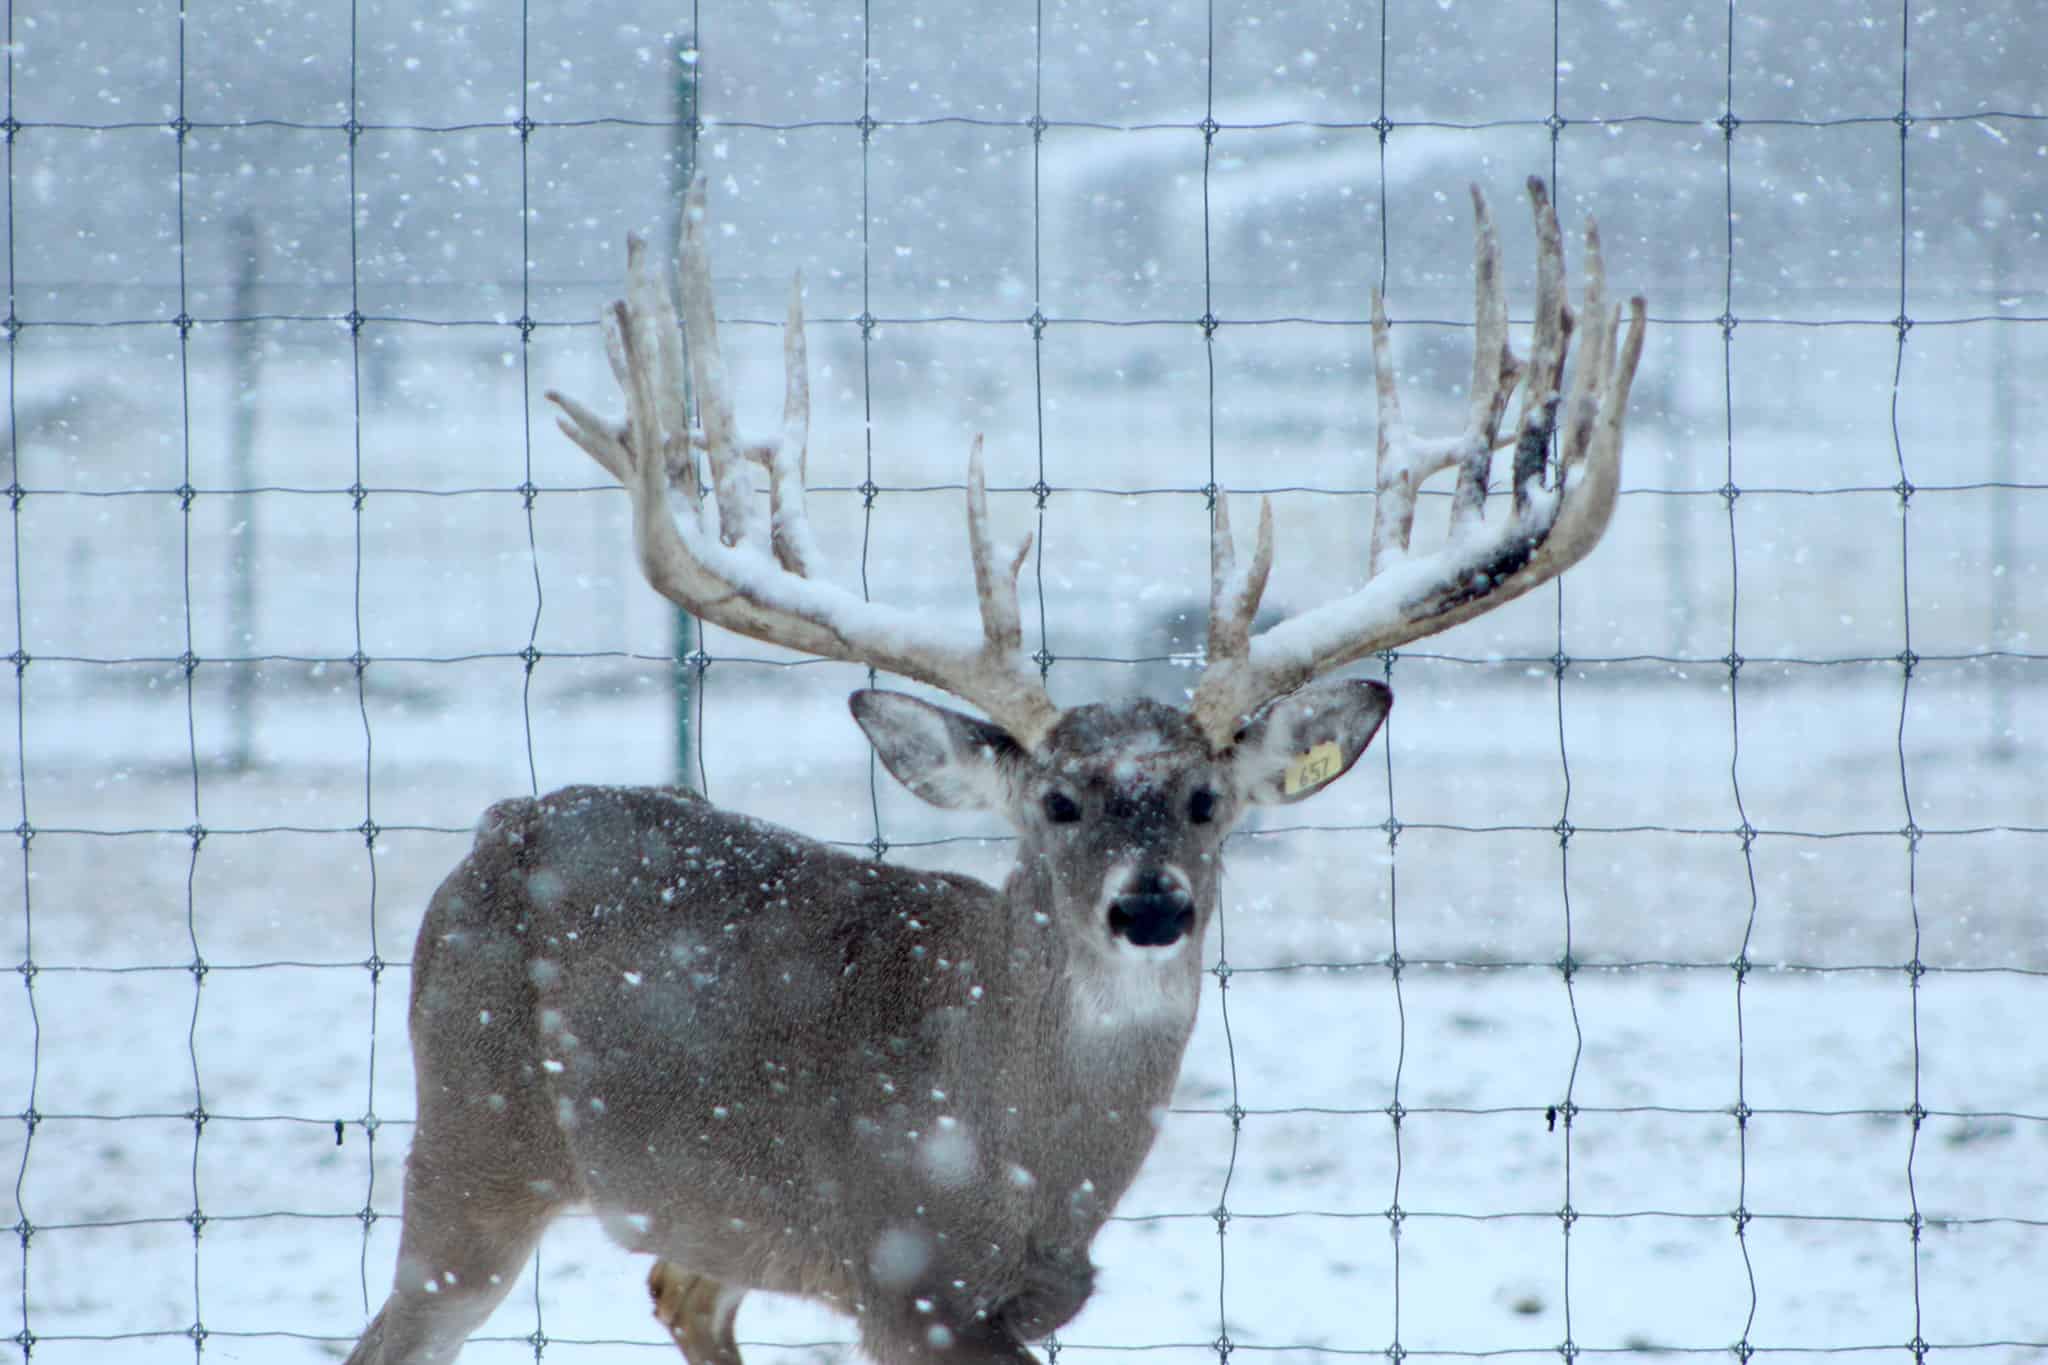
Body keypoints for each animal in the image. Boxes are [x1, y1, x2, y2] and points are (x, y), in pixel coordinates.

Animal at [342, 173, 1644, 1365]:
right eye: (1057, 801)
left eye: (1206, 800)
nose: (1150, 907)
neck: (1017, 1162)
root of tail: (499, 824)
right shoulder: (903, 1276)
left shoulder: (1013, 1302)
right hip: (472, 1135)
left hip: (694, 1209)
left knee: (680, 1295)